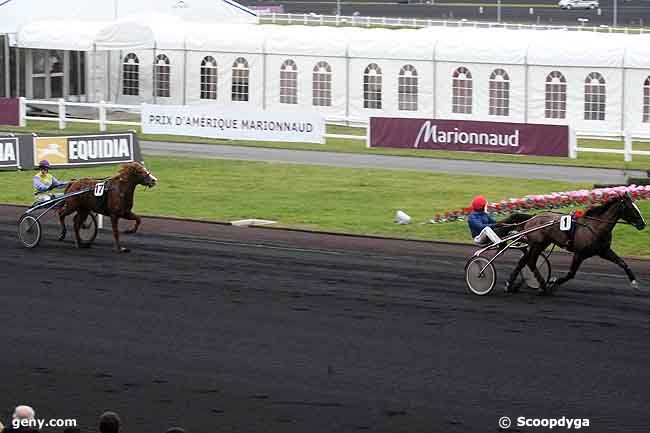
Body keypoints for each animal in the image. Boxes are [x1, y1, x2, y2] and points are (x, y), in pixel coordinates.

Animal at [502, 192, 644, 294]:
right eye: (632, 208)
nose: (643, 224)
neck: (595, 226)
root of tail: (533, 217)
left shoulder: (603, 251)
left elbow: (623, 263)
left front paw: (634, 282)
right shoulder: (579, 253)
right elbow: (571, 274)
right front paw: (553, 282)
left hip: (540, 244)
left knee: (524, 261)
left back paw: (510, 284)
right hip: (537, 244)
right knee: (530, 261)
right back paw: (543, 286)